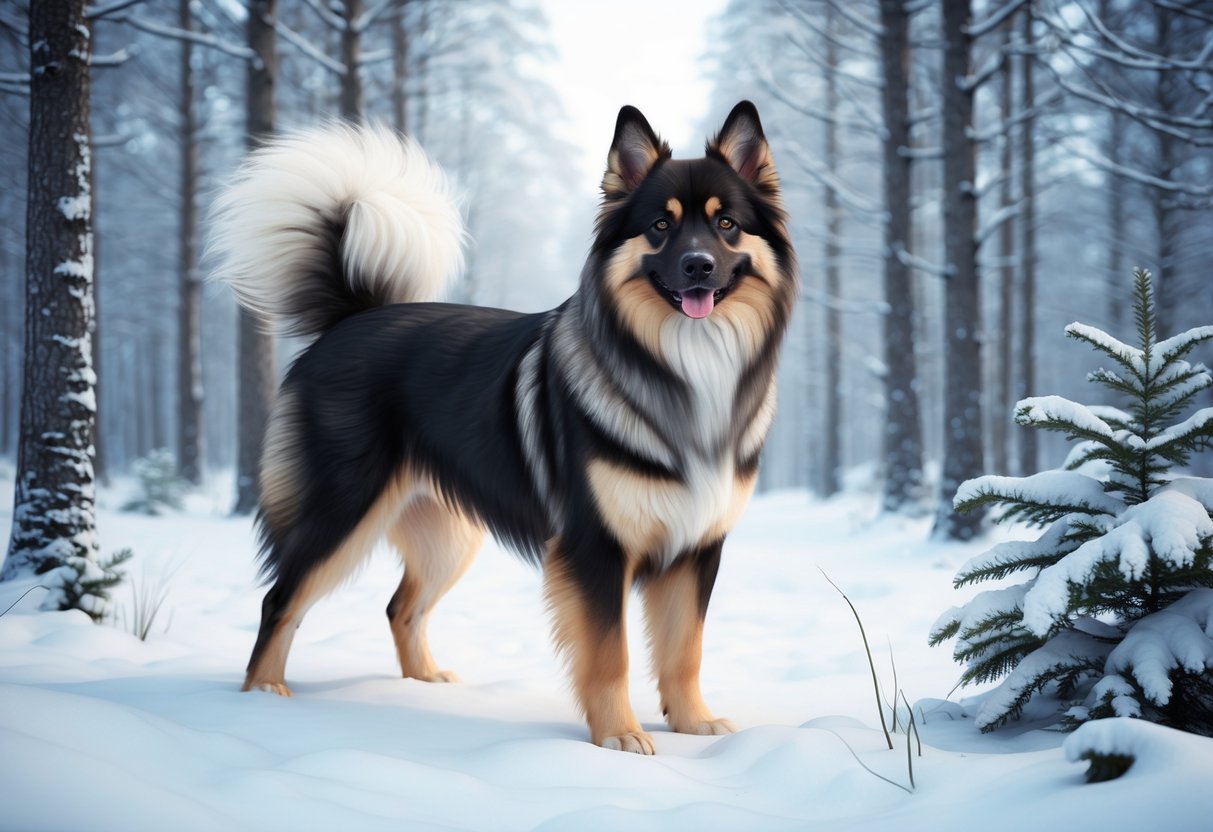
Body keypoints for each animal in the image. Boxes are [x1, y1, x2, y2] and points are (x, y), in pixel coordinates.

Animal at [211, 101, 795, 751]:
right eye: (661, 227)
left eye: (727, 225)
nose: (698, 266)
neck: (681, 366)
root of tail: (351, 318)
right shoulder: (595, 546)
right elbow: (610, 654)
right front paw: (618, 737)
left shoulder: (696, 546)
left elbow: (684, 649)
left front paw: (694, 724)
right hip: (343, 511)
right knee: (280, 600)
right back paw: (263, 697)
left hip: (447, 534)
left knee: (400, 607)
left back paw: (424, 686)